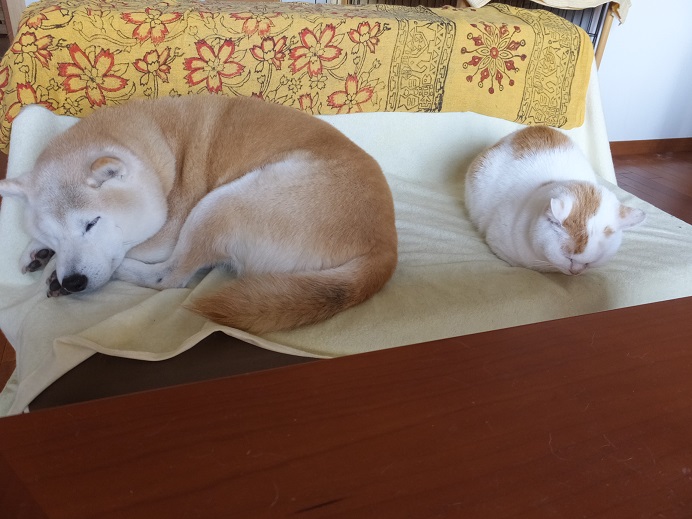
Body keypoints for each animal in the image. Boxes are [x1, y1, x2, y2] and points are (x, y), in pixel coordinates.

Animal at [0, 95, 398, 333]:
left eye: (91, 223)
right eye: (53, 235)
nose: (72, 282)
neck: (156, 148)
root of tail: (385, 248)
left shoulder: (164, 232)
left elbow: (130, 250)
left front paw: (53, 268)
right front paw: (38, 252)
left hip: (221, 204)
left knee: (169, 277)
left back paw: (121, 271)